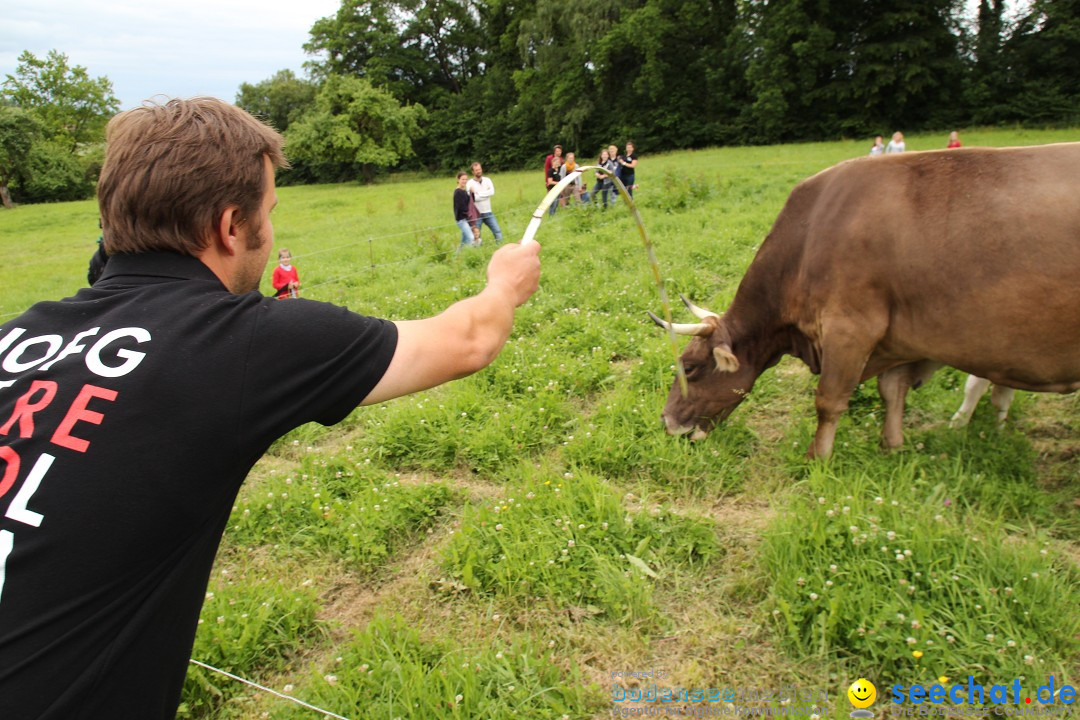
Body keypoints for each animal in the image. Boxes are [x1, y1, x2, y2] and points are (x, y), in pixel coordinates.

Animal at [648, 143, 1080, 459]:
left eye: (689, 366)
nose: (666, 421)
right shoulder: (898, 338)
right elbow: (893, 391)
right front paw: (893, 446)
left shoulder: (851, 326)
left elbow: (829, 399)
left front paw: (817, 458)